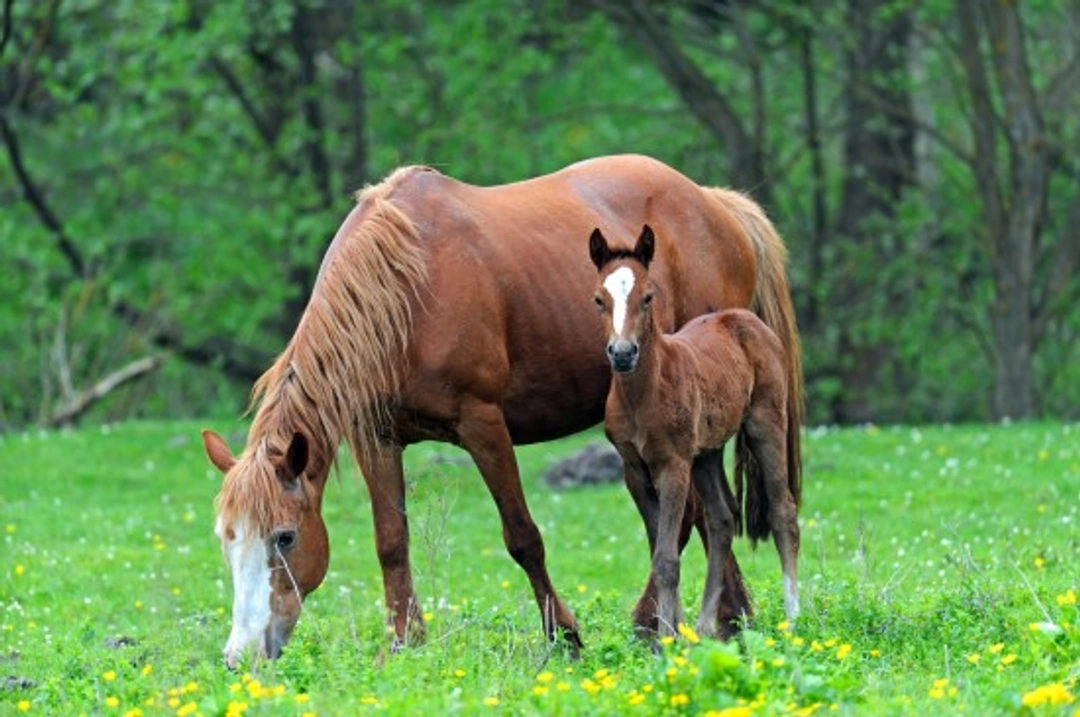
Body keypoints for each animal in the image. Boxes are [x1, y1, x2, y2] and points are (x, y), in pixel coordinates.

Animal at [589, 224, 801, 640]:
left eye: (648, 297)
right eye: (599, 299)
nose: (622, 353)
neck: (643, 395)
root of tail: (746, 318)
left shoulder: (673, 465)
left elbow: (667, 557)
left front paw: (667, 637)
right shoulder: (634, 468)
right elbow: (660, 550)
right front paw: (670, 631)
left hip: (765, 423)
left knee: (784, 512)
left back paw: (795, 617)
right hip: (706, 453)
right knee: (722, 519)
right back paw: (704, 626)